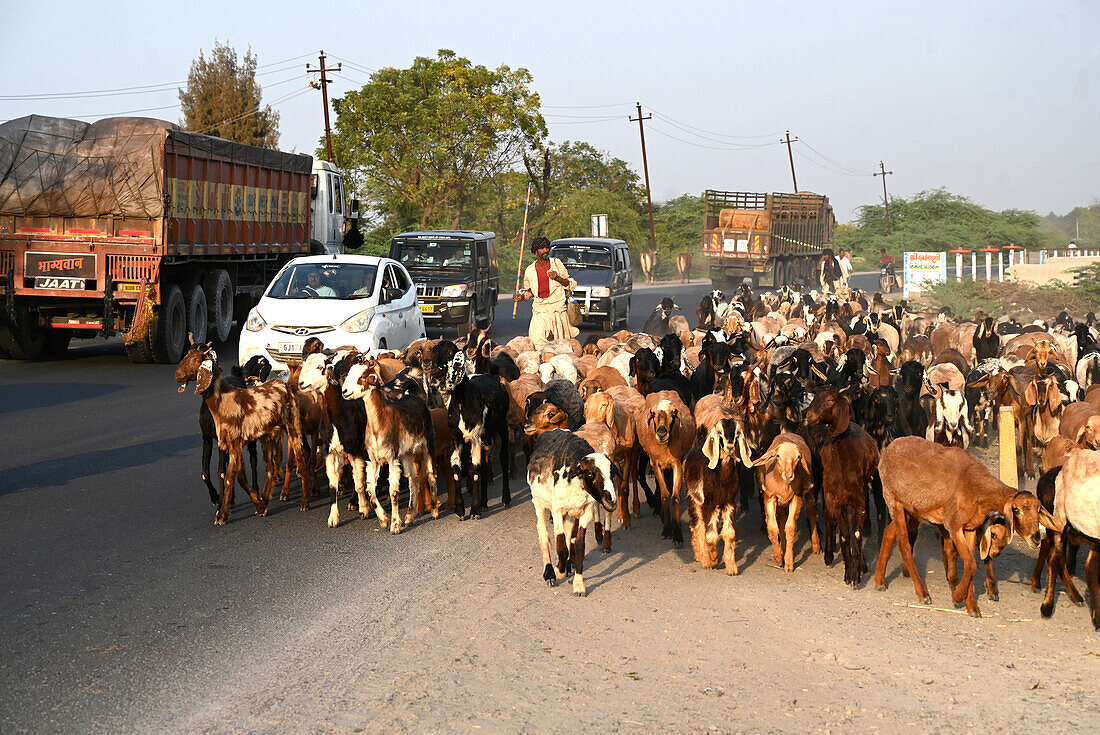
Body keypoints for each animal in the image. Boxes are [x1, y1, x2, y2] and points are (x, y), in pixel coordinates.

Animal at [871, 435, 1042, 616]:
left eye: (1038, 510)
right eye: (1016, 510)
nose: (1036, 539)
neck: (978, 488)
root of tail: (890, 447)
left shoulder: (970, 527)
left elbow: (970, 564)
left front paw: (972, 606)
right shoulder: (953, 525)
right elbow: (971, 564)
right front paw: (957, 597)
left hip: (911, 509)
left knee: (889, 532)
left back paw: (880, 581)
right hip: (893, 500)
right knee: (904, 545)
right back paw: (923, 594)